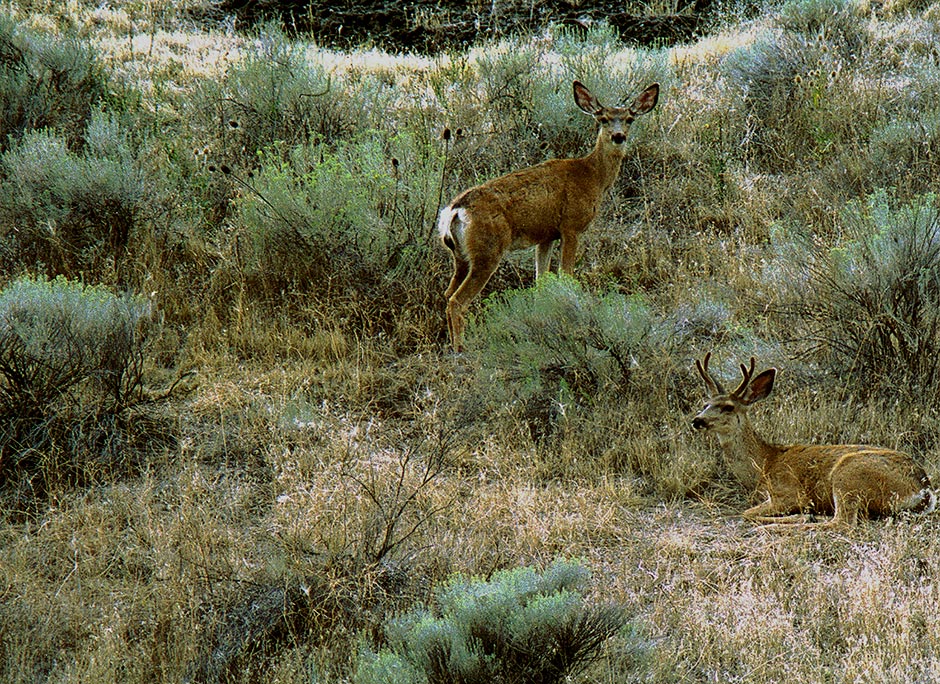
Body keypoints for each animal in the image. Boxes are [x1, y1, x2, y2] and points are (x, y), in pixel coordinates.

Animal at [440, 79, 660, 352]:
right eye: (603, 118)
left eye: (629, 119)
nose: (618, 136)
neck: (593, 176)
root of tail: (455, 211)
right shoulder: (571, 226)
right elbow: (566, 275)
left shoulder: (546, 236)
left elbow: (540, 281)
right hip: (487, 251)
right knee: (457, 300)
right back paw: (460, 349)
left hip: (460, 255)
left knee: (447, 294)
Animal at [692, 352, 932, 528]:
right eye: (705, 404)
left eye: (728, 407)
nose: (697, 420)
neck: (763, 464)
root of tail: (924, 489)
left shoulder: (789, 493)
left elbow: (746, 513)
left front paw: (803, 514)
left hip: (849, 475)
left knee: (843, 523)